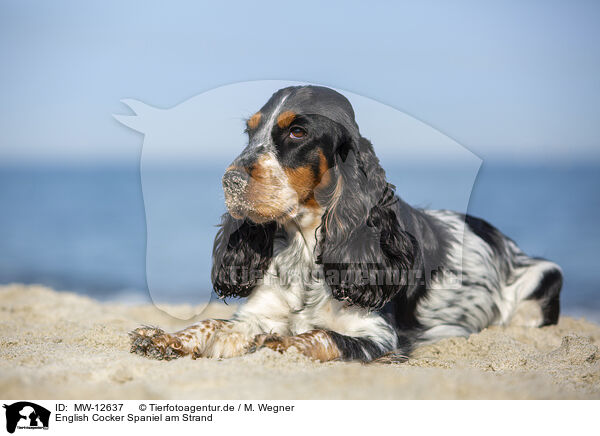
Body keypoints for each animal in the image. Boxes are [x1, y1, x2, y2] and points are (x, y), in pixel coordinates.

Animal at [130, 85, 564, 362]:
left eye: (297, 131)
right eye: (249, 132)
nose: (230, 181)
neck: (306, 246)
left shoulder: (378, 335)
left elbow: (322, 334)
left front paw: (281, 344)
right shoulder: (257, 312)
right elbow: (210, 323)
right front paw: (163, 338)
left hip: (542, 275)